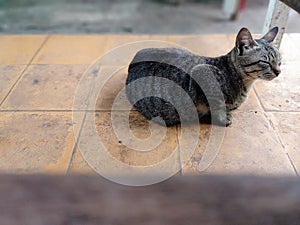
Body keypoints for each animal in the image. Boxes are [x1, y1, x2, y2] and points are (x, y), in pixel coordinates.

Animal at [125, 26, 282, 126]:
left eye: (279, 61)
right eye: (265, 62)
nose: (278, 71)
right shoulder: (202, 74)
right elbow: (217, 105)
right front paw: (223, 118)